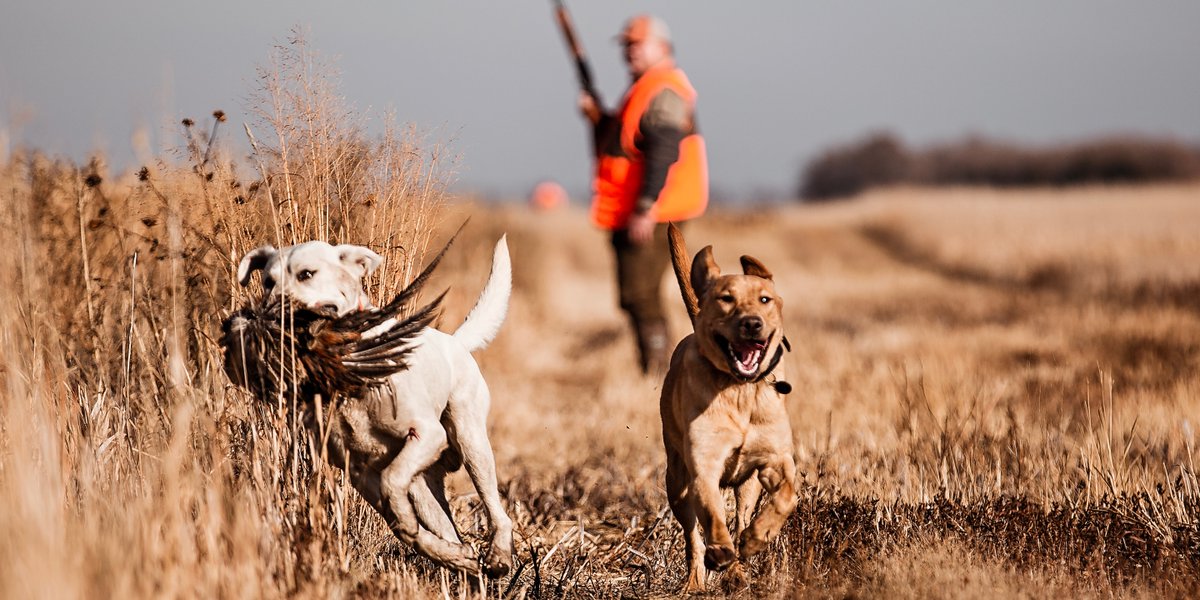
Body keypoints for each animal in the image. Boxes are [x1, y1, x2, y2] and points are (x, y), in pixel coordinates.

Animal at [236, 236, 513, 578]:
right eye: (268, 282)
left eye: (306, 274)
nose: (276, 313)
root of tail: (455, 342)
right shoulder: (359, 471)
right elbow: (400, 521)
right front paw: (437, 547)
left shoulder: (427, 435)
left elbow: (393, 483)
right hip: (424, 486)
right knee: (448, 530)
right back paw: (461, 563)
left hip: (470, 442)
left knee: (497, 511)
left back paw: (499, 556)